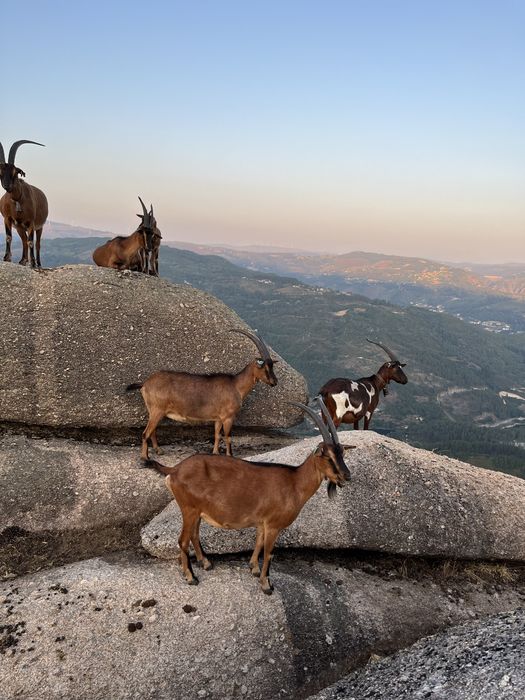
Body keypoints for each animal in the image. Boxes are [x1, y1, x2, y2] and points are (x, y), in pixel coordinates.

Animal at [0, 140, 48, 268]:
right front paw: (7, 258)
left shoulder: (31, 222)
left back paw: (38, 263)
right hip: (19, 227)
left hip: (39, 227)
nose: (7, 186)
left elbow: (31, 242)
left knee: (36, 243)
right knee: (23, 240)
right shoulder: (7, 219)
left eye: (15, 172)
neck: (18, 199)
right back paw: (23, 260)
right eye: (0, 172)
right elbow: (8, 237)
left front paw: (33, 263)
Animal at [127, 329, 279, 459]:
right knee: (145, 433)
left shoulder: (218, 418)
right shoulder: (228, 417)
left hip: (154, 411)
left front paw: (215, 453)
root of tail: (145, 383)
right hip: (157, 410)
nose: (275, 382)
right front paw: (230, 456)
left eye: (272, 366)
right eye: (265, 368)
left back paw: (159, 451)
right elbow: (228, 437)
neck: (235, 385)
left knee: (152, 431)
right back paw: (145, 458)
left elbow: (217, 435)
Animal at [142, 398, 353, 594]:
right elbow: (268, 553)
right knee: (183, 540)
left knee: (194, 534)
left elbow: (258, 543)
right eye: (327, 455)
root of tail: (174, 469)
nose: (346, 475)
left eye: (342, 452)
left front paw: (254, 569)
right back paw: (191, 577)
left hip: (197, 512)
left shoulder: (262, 522)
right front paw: (266, 585)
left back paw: (206, 563)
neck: (294, 482)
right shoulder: (273, 525)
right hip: (189, 509)